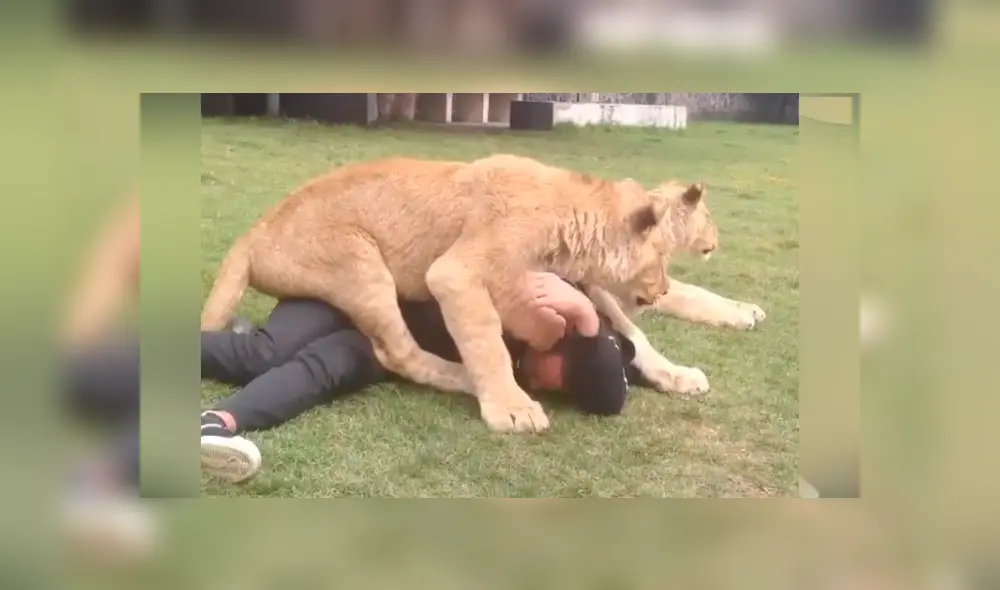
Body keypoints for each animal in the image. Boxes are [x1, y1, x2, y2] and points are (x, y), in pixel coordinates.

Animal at [200, 154, 674, 433]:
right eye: (664, 257)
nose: (666, 287)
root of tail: (252, 233)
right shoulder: (454, 273)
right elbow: (488, 342)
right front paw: (512, 408)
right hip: (359, 260)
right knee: (398, 353)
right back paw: (464, 377)